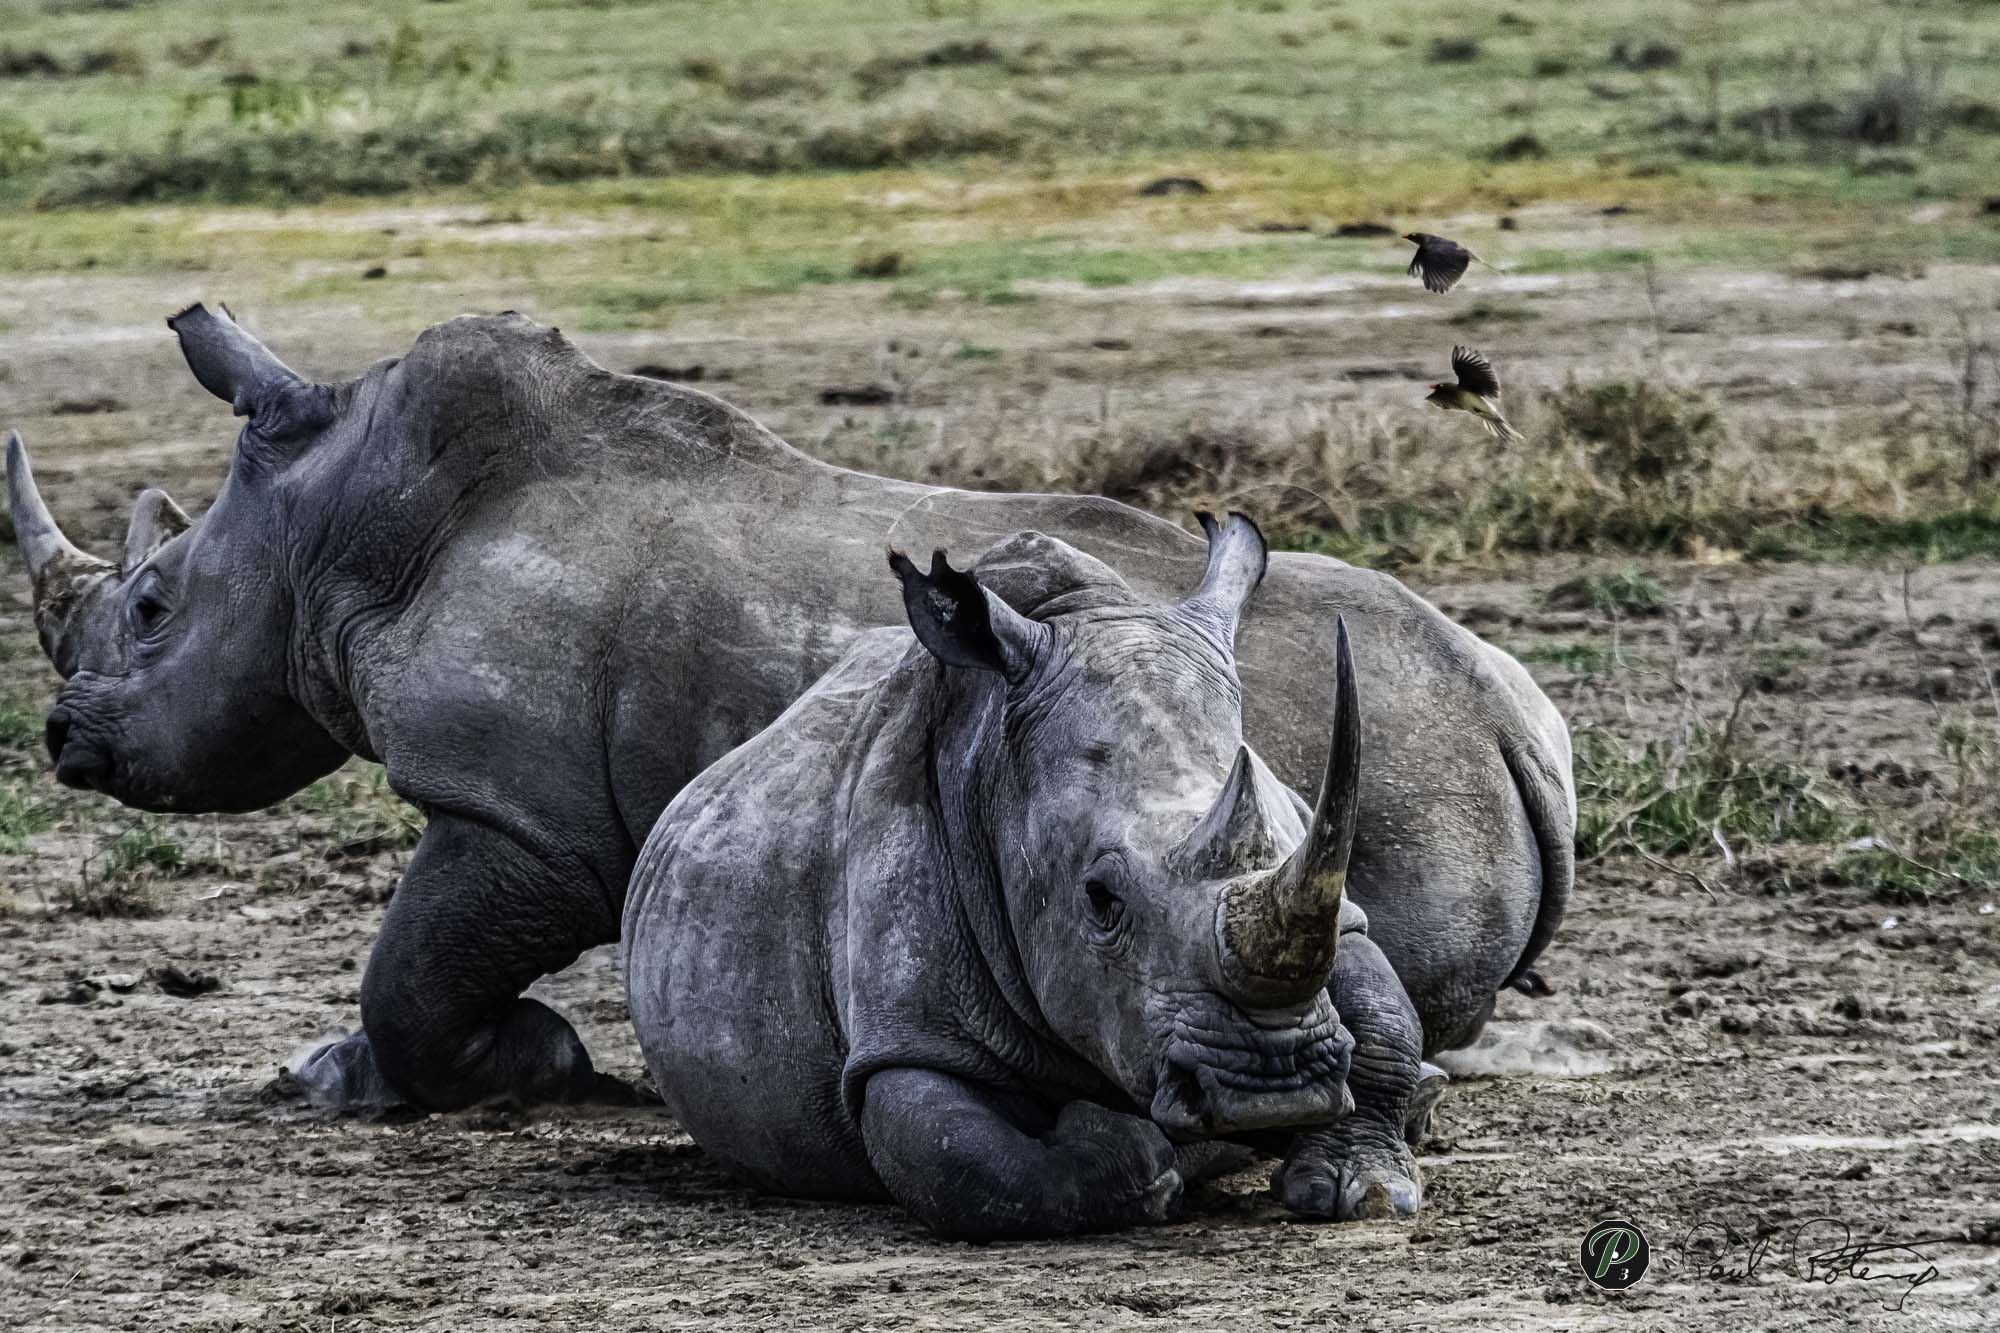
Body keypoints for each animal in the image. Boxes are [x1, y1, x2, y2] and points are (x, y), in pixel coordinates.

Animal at [626, 516, 1437, 1236]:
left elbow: (1382, 1012)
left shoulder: (1327, 893)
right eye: (1100, 899)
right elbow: (968, 1162)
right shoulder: (904, 1030)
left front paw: (1360, 1188)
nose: (1272, 1089)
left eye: (1283, 843)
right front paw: (1137, 1153)